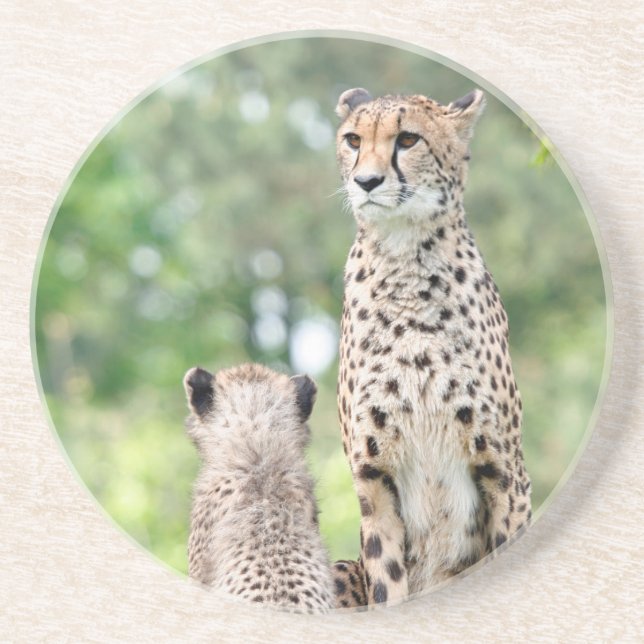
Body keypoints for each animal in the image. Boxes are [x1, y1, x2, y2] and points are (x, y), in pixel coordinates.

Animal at [332, 87, 532, 608]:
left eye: (408, 139)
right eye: (353, 140)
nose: (366, 181)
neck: (404, 262)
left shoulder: (504, 472)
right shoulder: (374, 480)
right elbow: (387, 583)